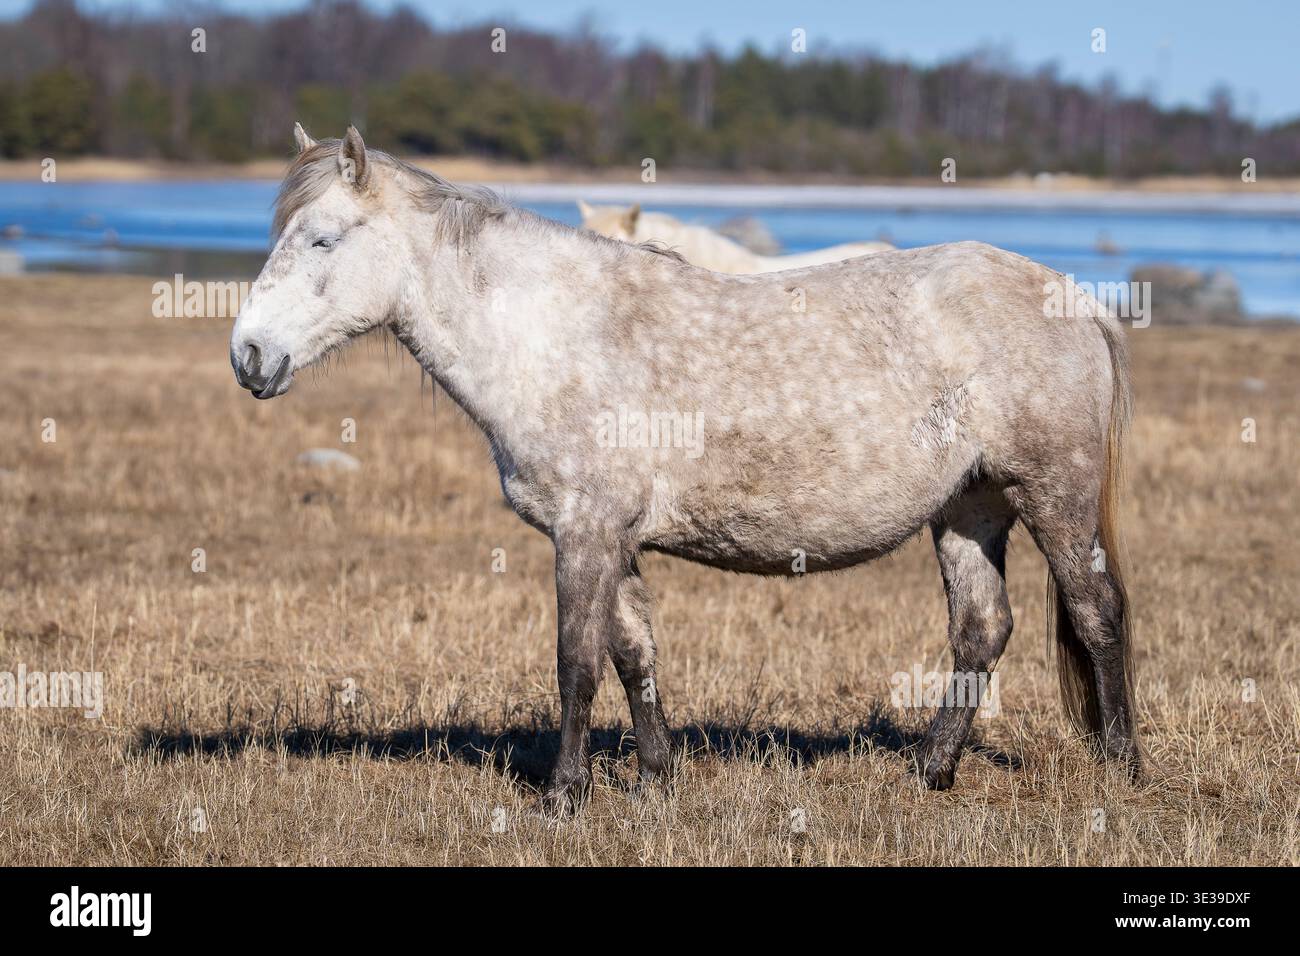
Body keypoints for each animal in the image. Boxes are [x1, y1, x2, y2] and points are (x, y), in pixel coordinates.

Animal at [231, 125, 1140, 813]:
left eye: (321, 238)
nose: (248, 356)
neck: (556, 334)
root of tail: (1075, 300)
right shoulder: (616, 540)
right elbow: (635, 654)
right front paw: (655, 778)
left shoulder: (584, 534)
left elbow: (575, 662)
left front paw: (564, 794)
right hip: (969, 509)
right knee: (981, 629)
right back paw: (932, 770)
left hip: (1054, 500)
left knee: (1097, 615)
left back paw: (1123, 766)